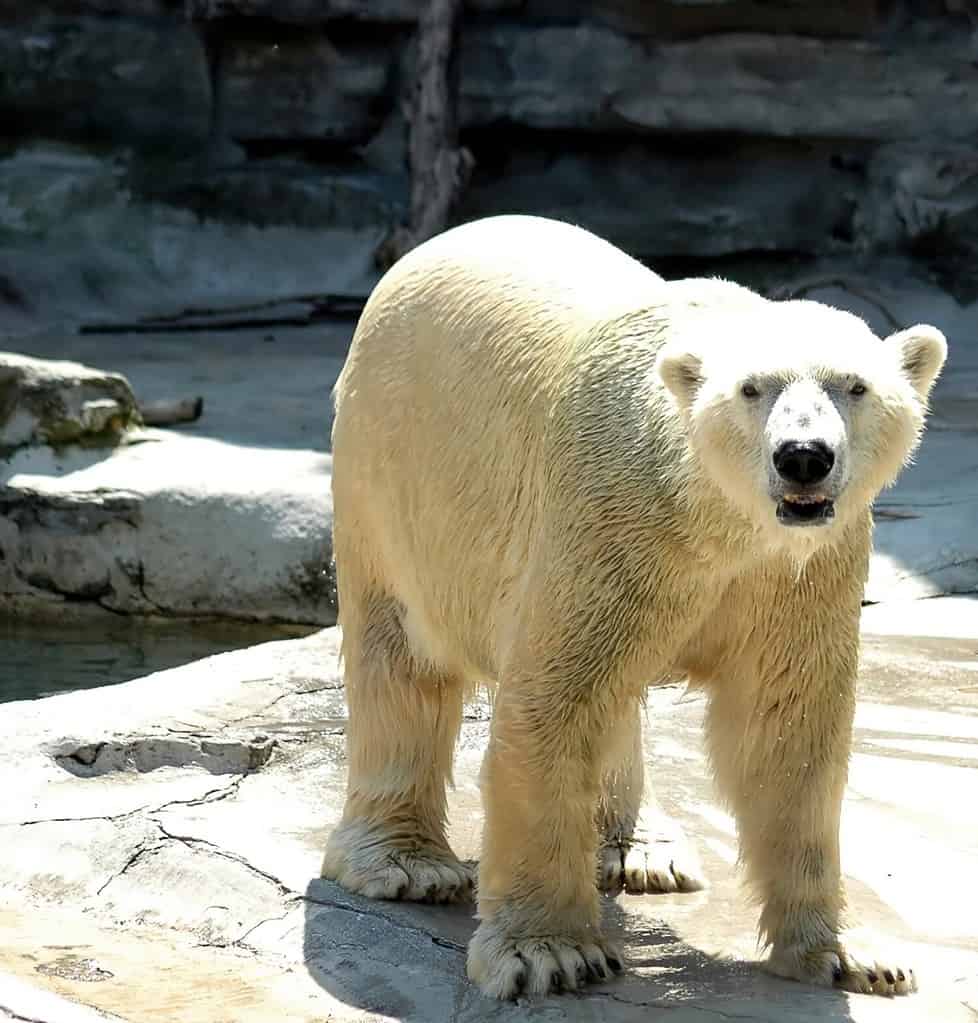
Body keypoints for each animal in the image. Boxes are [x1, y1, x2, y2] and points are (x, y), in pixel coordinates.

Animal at [321, 214, 947, 1000]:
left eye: (854, 386)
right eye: (752, 389)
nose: (803, 455)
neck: (712, 515)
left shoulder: (795, 569)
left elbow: (784, 730)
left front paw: (853, 955)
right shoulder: (606, 515)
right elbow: (553, 701)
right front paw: (549, 953)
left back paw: (644, 850)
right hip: (390, 468)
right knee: (400, 659)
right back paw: (407, 862)